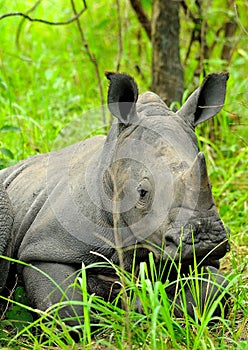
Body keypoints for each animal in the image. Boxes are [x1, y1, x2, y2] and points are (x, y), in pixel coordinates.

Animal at [0, 72, 230, 324]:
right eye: (142, 193)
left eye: (210, 185)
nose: (206, 240)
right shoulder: (44, 248)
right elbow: (66, 306)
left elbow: (215, 288)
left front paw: (143, 305)